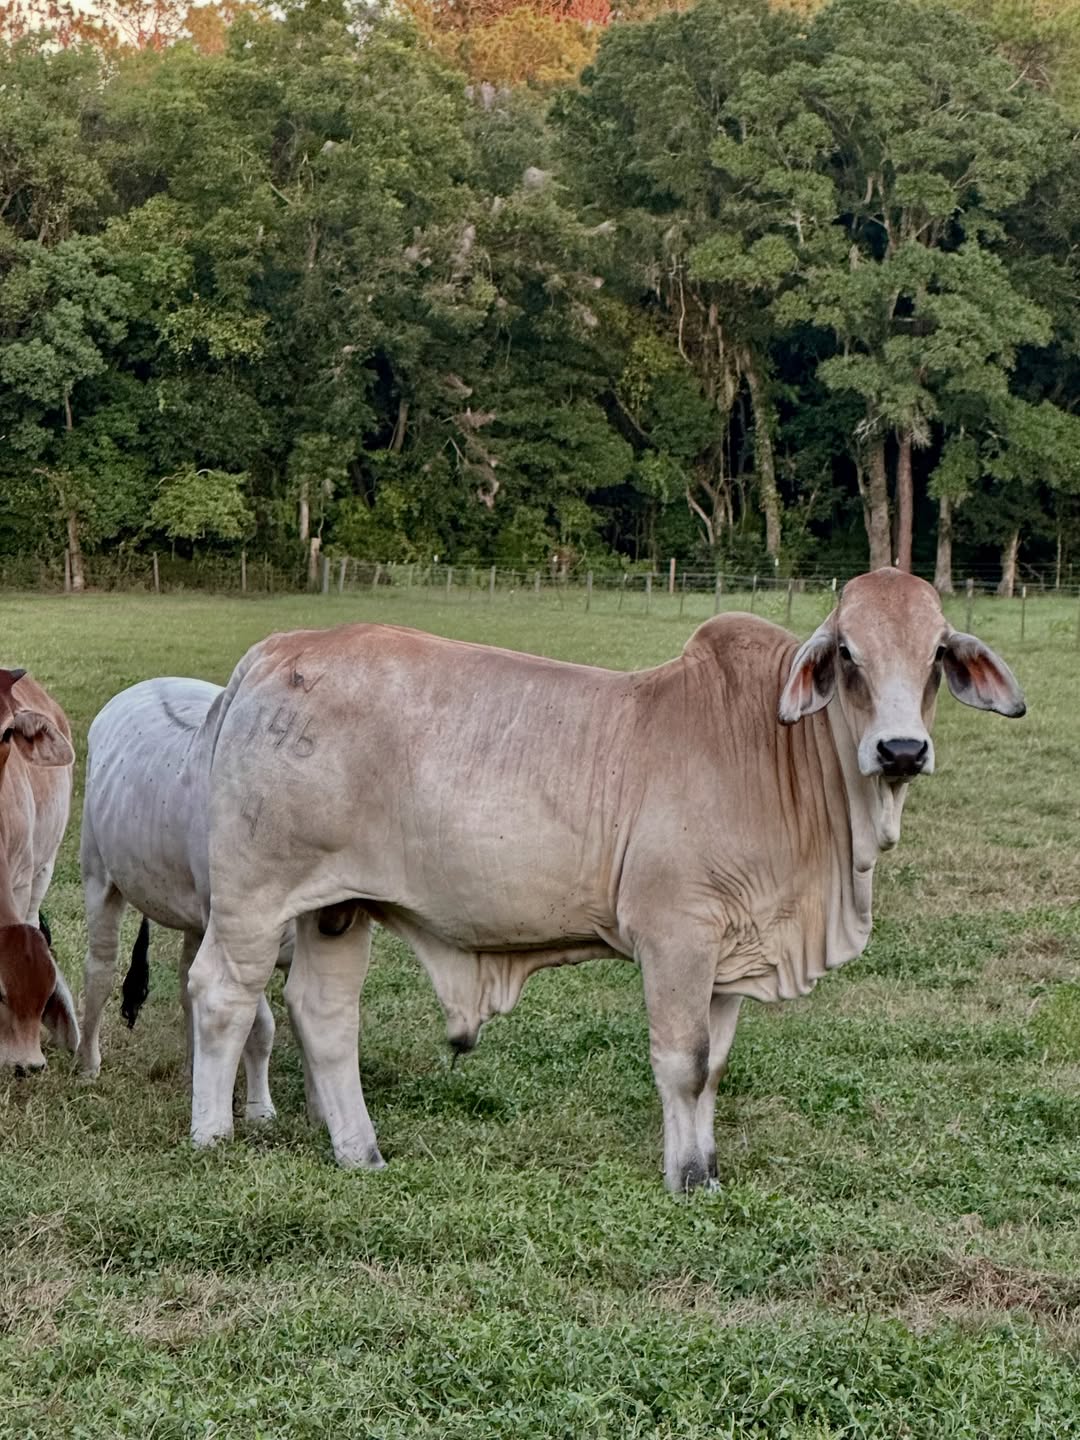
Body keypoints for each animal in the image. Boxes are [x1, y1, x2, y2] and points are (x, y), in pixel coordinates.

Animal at [76, 677, 290, 1120]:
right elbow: (260, 1027)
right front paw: (260, 1111)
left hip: (196, 920)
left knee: (187, 983)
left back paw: (195, 1072)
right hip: (98, 875)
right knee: (100, 968)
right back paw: (88, 1064)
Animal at [185, 569, 1026, 1192]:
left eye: (935, 655)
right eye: (848, 653)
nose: (901, 750)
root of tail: (271, 654)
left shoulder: (729, 951)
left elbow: (715, 1068)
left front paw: (707, 1168)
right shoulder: (676, 935)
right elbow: (683, 1063)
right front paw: (686, 1178)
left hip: (338, 907)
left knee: (324, 1015)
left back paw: (360, 1152)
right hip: (255, 898)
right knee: (223, 995)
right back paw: (212, 1136)